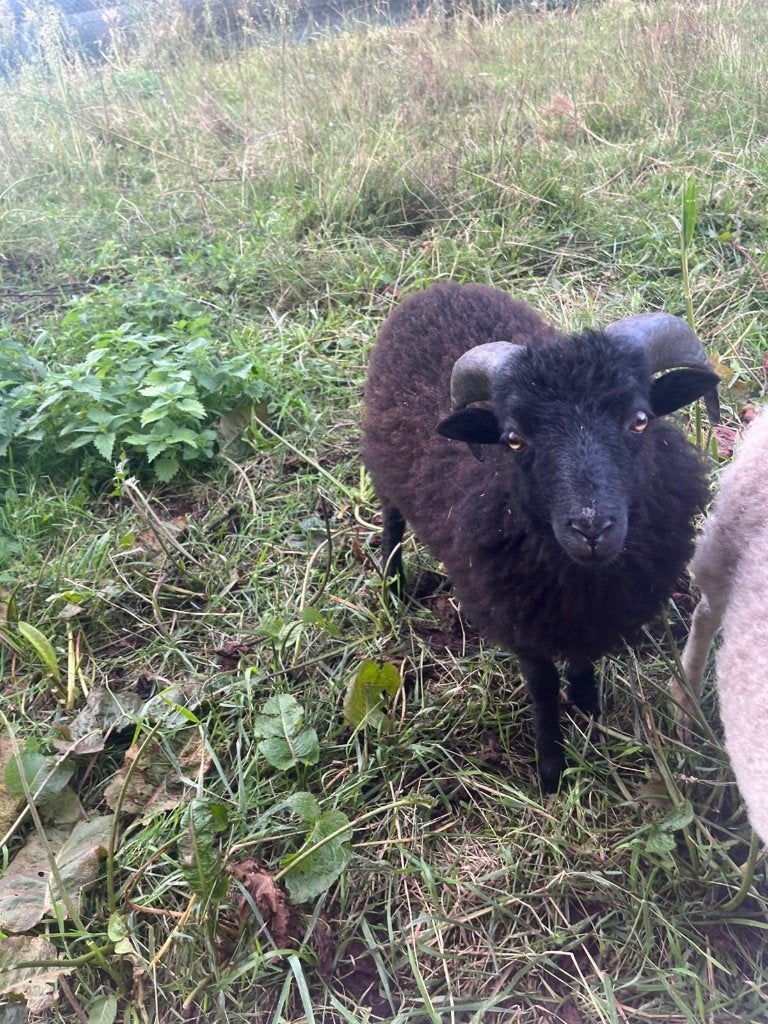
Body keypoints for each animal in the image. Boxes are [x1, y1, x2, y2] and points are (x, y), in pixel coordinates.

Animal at [362, 282, 720, 792]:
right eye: (514, 439)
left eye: (640, 419)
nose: (590, 528)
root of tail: (438, 289)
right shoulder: (518, 616)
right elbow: (543, 687)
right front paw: (551, 770)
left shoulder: (585, 610)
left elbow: (584, 655)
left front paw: (589, 705)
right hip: (385, 466)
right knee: (392, 519)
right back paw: (392, 586)